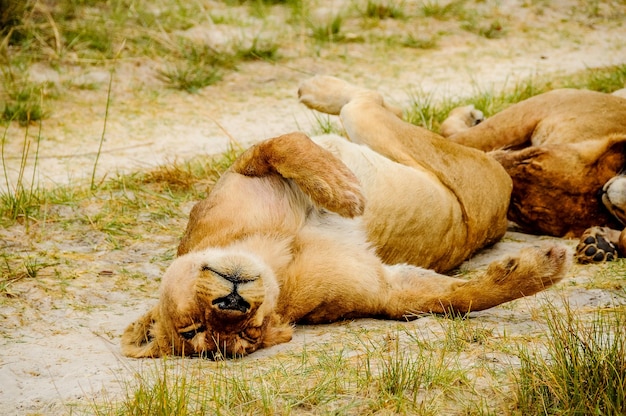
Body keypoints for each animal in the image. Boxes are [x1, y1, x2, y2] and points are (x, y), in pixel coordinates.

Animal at [122, 77, 572, 358]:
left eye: (190, 327)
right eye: (200, 332)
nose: (231, 304)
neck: (275, 258)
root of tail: (503, 191)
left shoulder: (241, 169)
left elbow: (286, 145)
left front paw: (343, 191)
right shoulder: (381, 290)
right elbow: (457, 297)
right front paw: (538, 269)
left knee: (365, 101)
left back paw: (319, 92)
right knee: (369, 102)